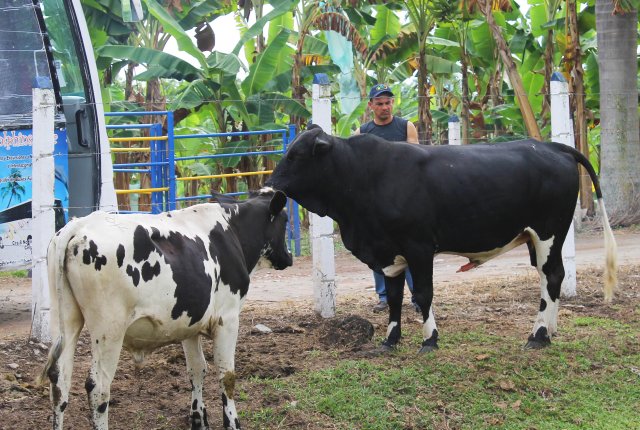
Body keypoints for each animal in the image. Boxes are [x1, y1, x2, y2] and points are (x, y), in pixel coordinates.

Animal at [37, 190, 292, 428]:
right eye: (285, 220)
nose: (288, 257)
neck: (230, 232)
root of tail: (79, 226)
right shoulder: (227, 320)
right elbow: (226, 376)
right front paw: (232, 422)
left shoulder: (190, 324)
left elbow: (197, 369)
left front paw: (198, 420)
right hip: (109, 329)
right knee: (98, 387)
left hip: (66, 321)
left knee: (59, 381)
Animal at [264, 124, 616, 352]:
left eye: (296, 155)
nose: (270, 185)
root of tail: (551, 146)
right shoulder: (389, 254)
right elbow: (395, 298)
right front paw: (390, 341)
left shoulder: (419, 247)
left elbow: (422, 295)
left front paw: (429, 340)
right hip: (534, 237)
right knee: (548, 279)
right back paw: (549, 330)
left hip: (548, 233)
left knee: (553, 276)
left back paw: (538, 335)